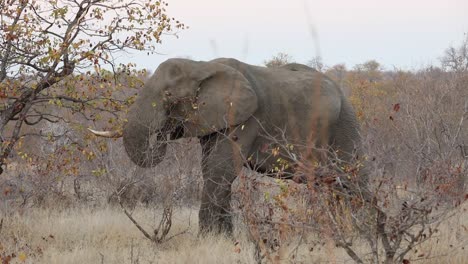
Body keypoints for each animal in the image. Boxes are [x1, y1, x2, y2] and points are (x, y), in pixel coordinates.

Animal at [89, 57, 364, 235]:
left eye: (169, 97)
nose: (161, 134)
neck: (201, 65)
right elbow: (209, 168)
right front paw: (222, 237)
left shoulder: (245, 119)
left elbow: (220, 169)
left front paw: (209, 238)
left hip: (344, 126)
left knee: (350, 181)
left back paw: (358, 233)